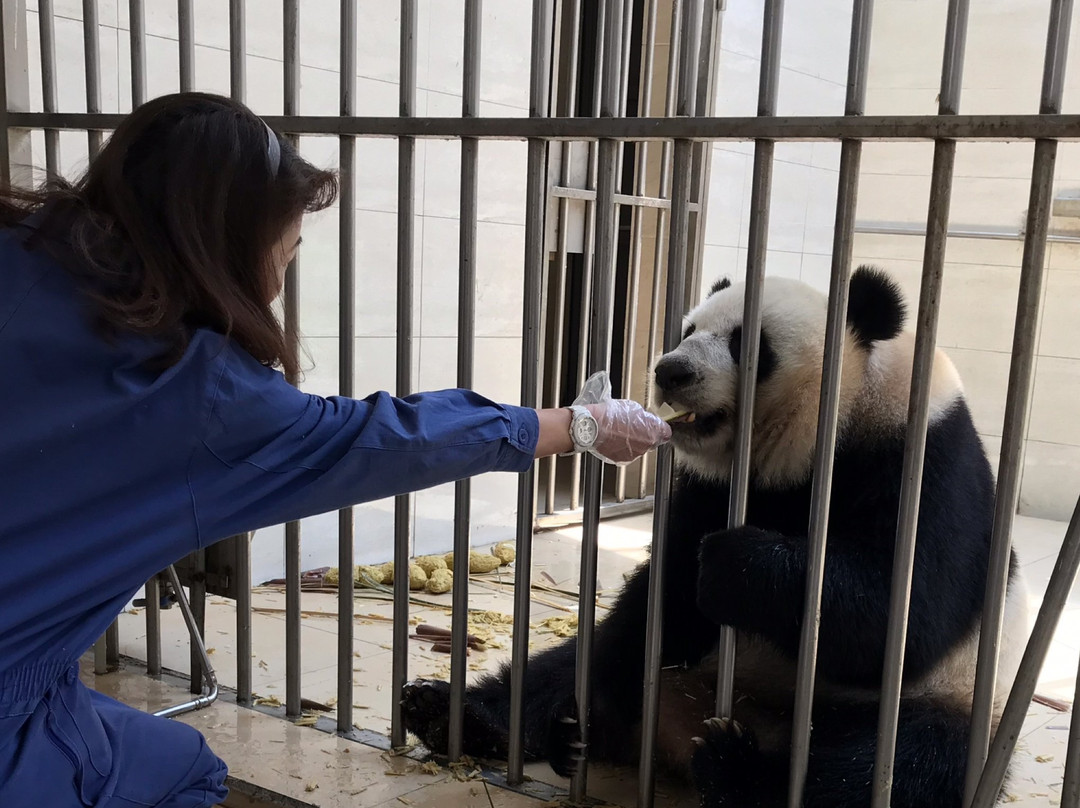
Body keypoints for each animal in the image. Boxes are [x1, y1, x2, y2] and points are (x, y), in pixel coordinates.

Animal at [403, 266, 1028, 808]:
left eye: (747, 342)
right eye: (688, 330)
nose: (671, 370)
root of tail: (675, 737)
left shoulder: (919, 460)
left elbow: (907, 612)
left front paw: (737, 566)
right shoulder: (711, 487)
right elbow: (662, 600)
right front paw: (583, 710)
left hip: (943, 701)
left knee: (894, 765)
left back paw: (732, 769)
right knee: (568, 664)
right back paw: (485, 717)